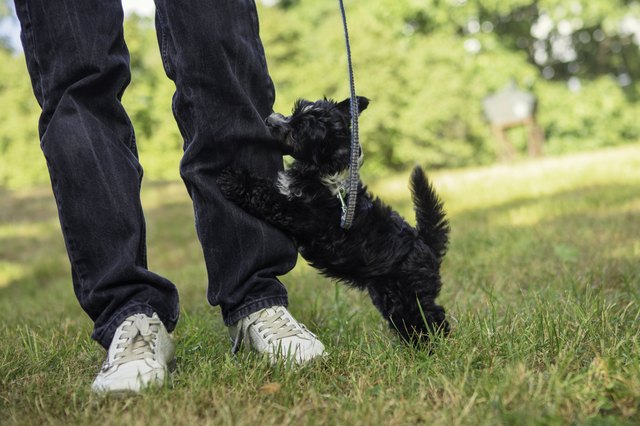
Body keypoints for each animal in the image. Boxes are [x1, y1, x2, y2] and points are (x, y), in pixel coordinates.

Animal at [218, 96, 448, 342]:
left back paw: (432, 345)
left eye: (298, 131)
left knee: (430, 316)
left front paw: (234, 179)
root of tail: (425, 243)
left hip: (406, 294)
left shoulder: (299, 213)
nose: (270, 119)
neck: (322, 174)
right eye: (294, 112)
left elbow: (267, 195)